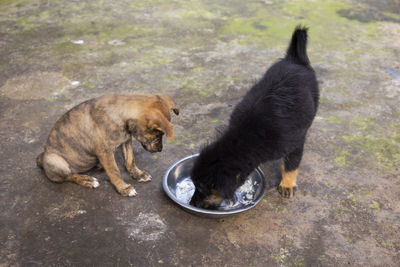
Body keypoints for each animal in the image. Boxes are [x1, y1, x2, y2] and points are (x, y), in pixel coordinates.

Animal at [36, 93, 180, 197]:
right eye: (158, 136)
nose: (160, 149)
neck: (120, 115)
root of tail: (41, 158)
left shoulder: (126, 140)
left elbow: (130, 160)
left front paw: (138, 175)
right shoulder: (105, 152)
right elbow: (114, 171)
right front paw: (124, 188)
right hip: (55, 160)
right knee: (68, 176)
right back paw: (87, 180)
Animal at [190, 25, 318, 209]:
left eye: (201, 188)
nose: (191, 203)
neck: (246, 137)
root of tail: (294, 59)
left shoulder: (295, 143)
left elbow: (290, 165)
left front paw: (287, 185)